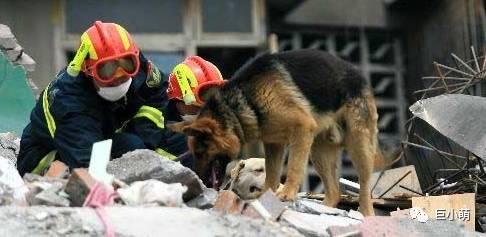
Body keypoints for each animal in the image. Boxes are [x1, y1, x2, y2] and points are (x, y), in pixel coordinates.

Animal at [171, 48, 384, 215]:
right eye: (194, 153)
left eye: (201, 152)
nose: (199, 181)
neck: (241, 103)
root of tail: (359, 74)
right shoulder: (274, 144)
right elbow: (272, 175)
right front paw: (268, 195)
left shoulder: (302, 129)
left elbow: (294, 167)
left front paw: (287, 193)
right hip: (318, 153)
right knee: (333, 191)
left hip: (359, 147)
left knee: (365, 189)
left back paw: (366, 214)